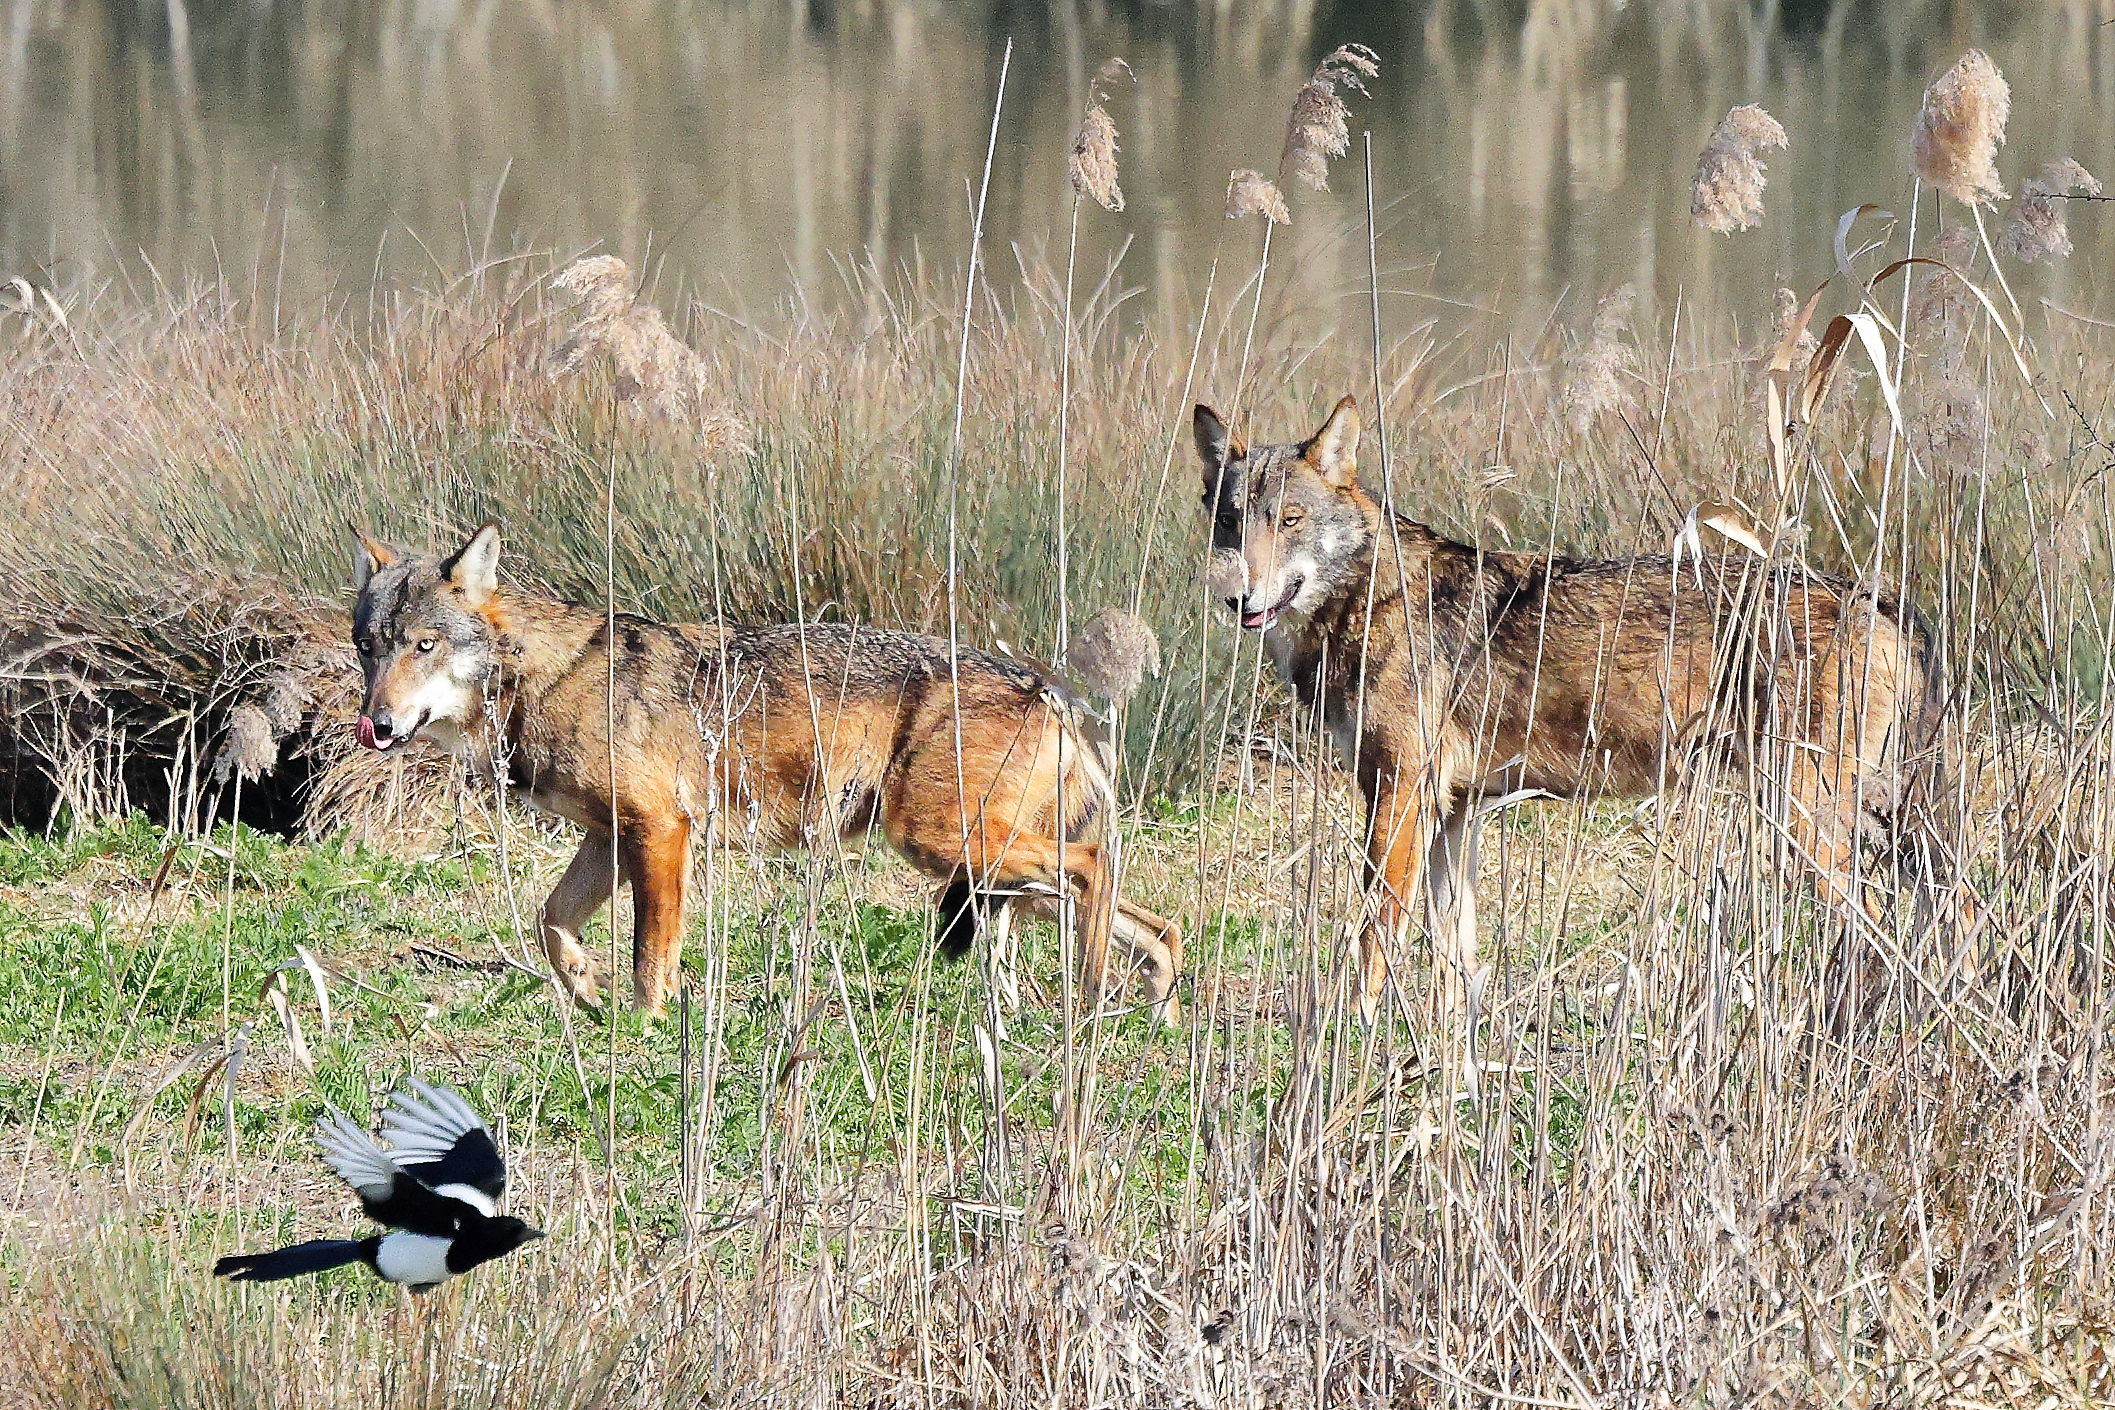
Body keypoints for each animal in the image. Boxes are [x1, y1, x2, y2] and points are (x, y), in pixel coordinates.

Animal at [348, 523, 1182, 1022]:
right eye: (369, 647)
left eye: (424, 646)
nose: (375, 724)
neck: (544, 679)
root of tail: (1045, 687)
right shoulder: (609, 841)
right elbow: (551, 922)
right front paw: (584, 987)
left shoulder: (661, 832)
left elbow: (651, 952)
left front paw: (648, 1025)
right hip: (993, 872)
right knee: (1159, 927)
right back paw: (1153, 1018)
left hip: (946, 844)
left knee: (1095, 867)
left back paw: (1089, 1004)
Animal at [1197, 395, 1960, 1023]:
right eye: (1230, 522)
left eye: (1289, 520)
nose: (1240, 598)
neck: (1369, 598)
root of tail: (1882, 601)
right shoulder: (1453, 811)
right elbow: (1455, 955)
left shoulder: (1399, 793)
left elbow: (1374, 929)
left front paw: (1347, 1032)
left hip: (1807, 823)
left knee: (1881, 926)